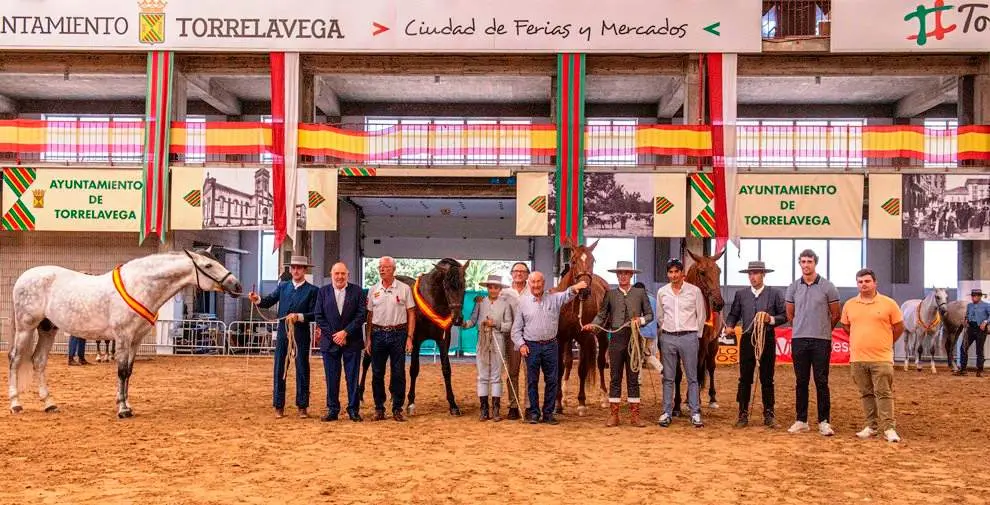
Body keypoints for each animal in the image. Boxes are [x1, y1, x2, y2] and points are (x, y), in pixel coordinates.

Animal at [8, 248, 242, 418]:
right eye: (208, 265)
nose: (237, 285)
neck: (140, 286)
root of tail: (23, 277)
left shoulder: (136, 340)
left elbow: (129, 372)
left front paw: (127, 405)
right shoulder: (123, 337)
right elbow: (121, 371)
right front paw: (122, 410)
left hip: (47, 328)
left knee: (38, 361)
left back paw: (49, 404)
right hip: (26, 327)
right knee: (15, 359)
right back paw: (16, 404)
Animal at [358, 258, 470, 416]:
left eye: (464, 286)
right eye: (446, 286)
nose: (458, 319)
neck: (432, 300)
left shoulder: (443, 341)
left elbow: (446, 369)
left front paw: (453, 405)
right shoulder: (416, 340)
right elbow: (414, 369)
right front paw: (410, 402)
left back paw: (392, 395)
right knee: (367, 362)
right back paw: (361, 396)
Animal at [552, 238, 612, 416]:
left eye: (593, 261)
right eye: (573, 261)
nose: (584, 290)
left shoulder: (584, 338)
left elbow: (582, 369)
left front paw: (581, 403)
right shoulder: (561, 338)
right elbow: (561, 367)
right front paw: (558, 403)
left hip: (602, 336)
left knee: (600, 363)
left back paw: (604, 397)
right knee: (568, 363)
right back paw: (565, 397)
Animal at [672, 246, 724, 416]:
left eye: (719, 271)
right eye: (702, 272)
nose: (719, 303)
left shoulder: (702, 345)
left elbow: (696, 370)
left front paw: (696, 403)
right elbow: (679, 374)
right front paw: (678, 405)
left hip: (713, 345)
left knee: (710, 368)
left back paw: (711, 398)